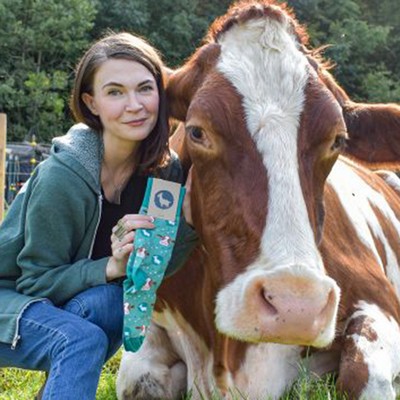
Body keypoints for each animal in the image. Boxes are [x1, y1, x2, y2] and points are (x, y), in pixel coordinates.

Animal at [117, 1, 400, 398]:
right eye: (197, 131)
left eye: (339, 139)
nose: (296, 305)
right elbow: (139, 380)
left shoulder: (380, 301)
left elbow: (362, 373)